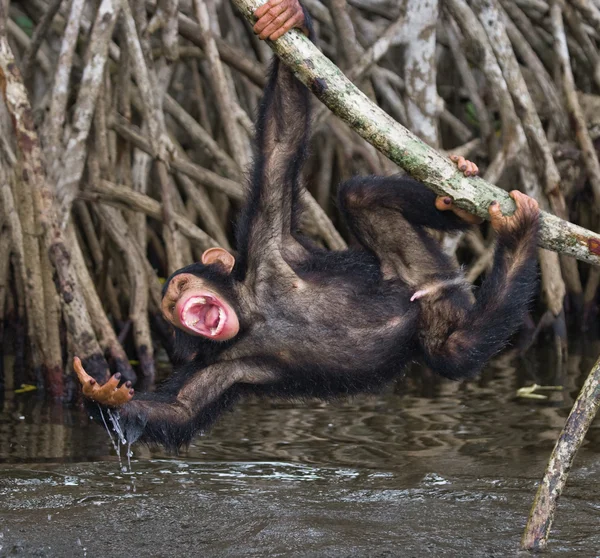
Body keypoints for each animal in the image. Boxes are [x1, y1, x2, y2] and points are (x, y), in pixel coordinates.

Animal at [74, 0, 540, 452]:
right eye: (170, 307)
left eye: (180, 285)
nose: (173, 299)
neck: (251, 310)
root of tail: (437, 283)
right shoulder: (217, 366)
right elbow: (180, 409)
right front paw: (102, 395)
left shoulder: (265, 240)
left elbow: (280, 140)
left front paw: (288, 16)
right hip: (437, 318)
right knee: (457, 349)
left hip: (417, 262)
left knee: (357, 193)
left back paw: (489, 219)